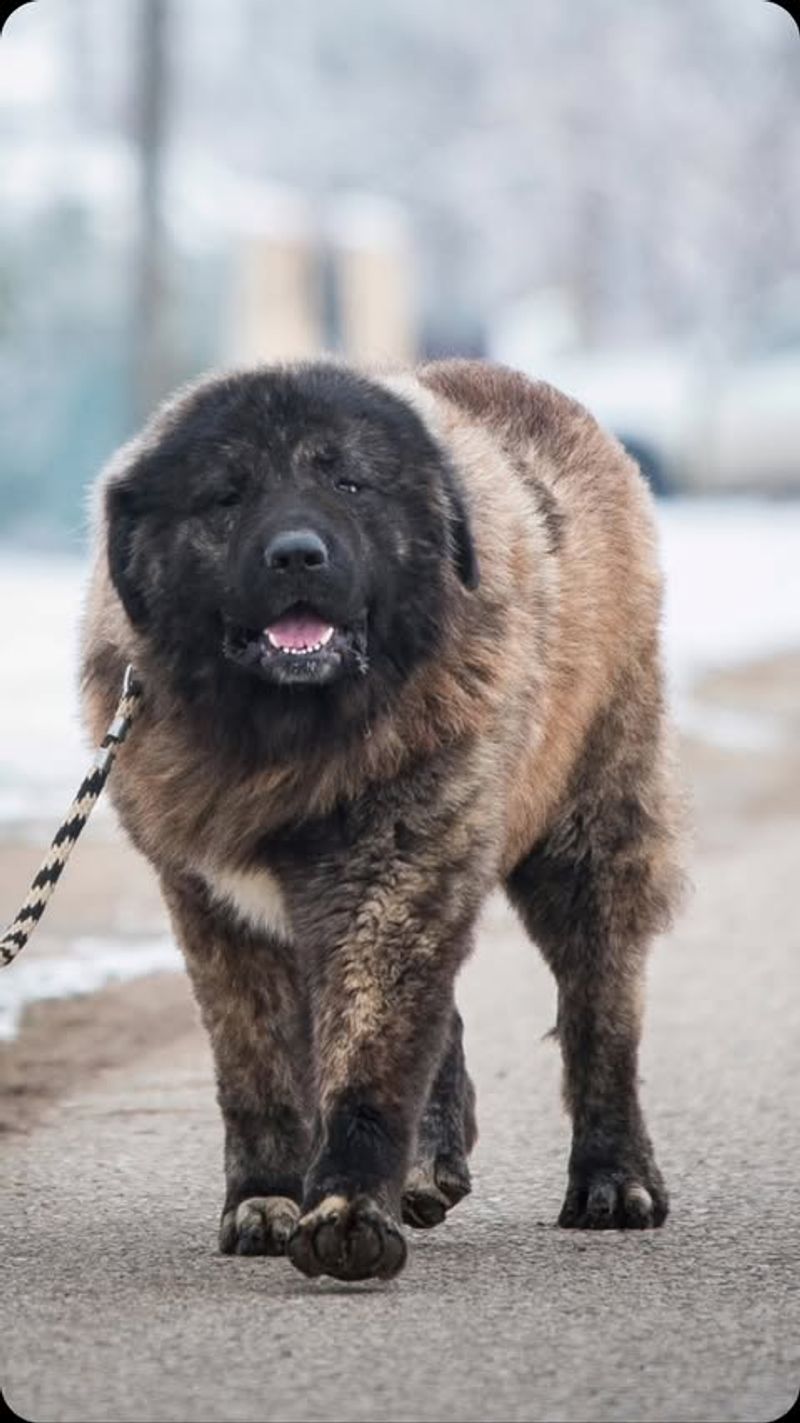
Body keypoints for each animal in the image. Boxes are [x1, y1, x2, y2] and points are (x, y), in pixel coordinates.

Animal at [79, 355, 677, 1280]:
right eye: (226, 494)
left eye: (350, 483)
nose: (298, 553)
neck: (287, 740)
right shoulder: (214, 905)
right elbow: (257, 1069)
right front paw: (267, 1196)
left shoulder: (393, 869)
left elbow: (372, 1048)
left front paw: (349, 1207)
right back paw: (432, 1164)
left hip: (589, 835)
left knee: (600, 1010)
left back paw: (615, 1179)